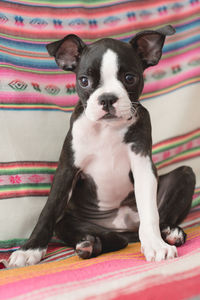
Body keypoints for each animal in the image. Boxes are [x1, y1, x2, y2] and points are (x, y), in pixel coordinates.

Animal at [8, 24, 195, 268]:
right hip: (69, 222)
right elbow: (47, 212)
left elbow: (150, 213)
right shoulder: (67, 169)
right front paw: (29, 250)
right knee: (110, 237)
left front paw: (155, 245)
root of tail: (123, 226)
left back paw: (170, 233)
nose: (107, 98)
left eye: (129, 78)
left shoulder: (143, 166)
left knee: (156, 218)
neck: (107, 129)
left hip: (185, 174)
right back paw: (89, 244)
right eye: (84, 81)